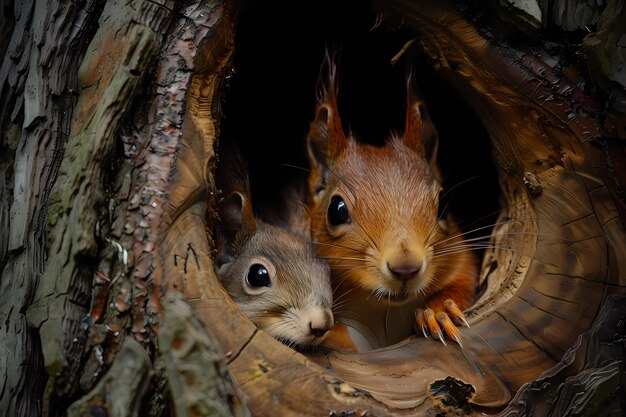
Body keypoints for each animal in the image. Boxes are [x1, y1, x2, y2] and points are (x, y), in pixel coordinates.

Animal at [304, 54, 476, 348]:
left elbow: (463, 282)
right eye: (336, 210)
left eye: (444, 205)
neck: (383, 309)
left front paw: (438, 312)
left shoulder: (461, 259)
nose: (406, 268)